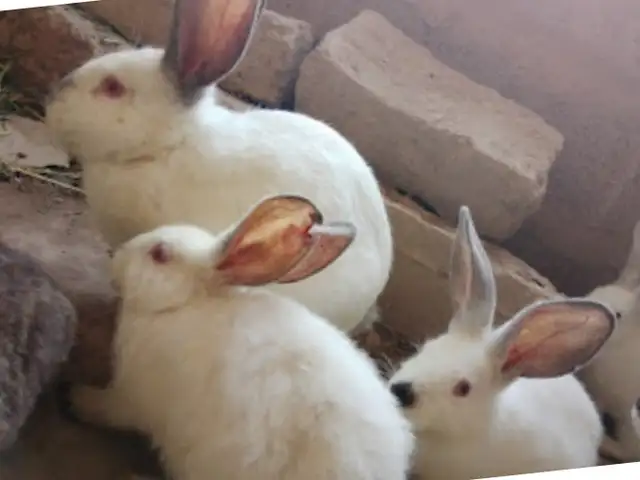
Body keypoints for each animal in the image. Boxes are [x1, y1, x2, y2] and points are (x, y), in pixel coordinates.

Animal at [62, 194, 414, 480]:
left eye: (159, 254)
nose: (117, 258)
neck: (186, 303)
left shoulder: (133, 396)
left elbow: (109, 409)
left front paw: (77, 397)